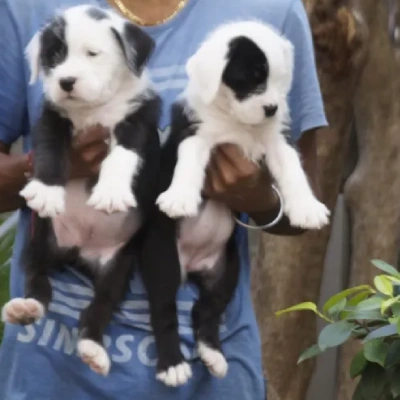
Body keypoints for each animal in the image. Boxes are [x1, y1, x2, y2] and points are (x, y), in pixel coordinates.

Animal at [1, 4, 161, 376]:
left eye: (93, 54)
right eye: (55, 55)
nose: (66, 82)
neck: (95, 108)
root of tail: (78, 251)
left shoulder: (138, 120)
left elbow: (122, 154)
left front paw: (112, 191)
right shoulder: (52, 116)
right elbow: (50, 149)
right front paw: (46, 191)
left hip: (117, 269)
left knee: (99, 308)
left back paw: (93, 348)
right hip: (40, 242)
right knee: (39, 281)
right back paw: (26, 308)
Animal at [141, 20, 332, 386]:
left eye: (280, 80)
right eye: (250, 77)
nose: (272, 108)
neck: (235, 119)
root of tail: (191, 266)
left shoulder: (277, 141)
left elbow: (295, 173)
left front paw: (307, 208)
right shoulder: (196, 135)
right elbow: (188, 164)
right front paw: (179, 198)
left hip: (226, 271)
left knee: (205, 310)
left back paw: (213, 355)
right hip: (163, 263)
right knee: (164, 310)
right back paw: (172, 365)